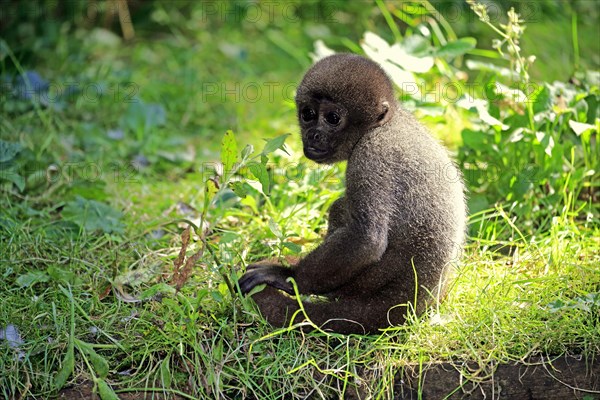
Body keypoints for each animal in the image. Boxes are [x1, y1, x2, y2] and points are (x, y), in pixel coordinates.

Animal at [239, 54, 468, 334]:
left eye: (333, 118)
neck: (383, 124)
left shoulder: (371, 156)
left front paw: (287, 276)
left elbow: (366, 239)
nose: (313, 134)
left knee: (340, 207)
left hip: (365, 282)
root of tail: (405, 304)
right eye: (308, 114)